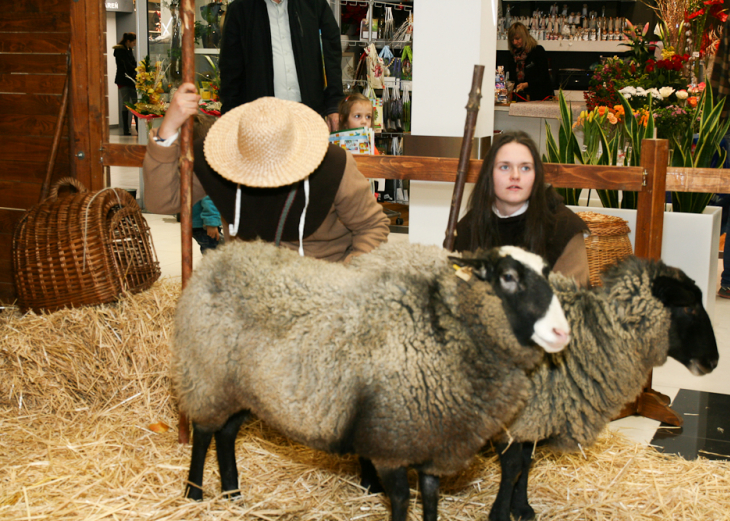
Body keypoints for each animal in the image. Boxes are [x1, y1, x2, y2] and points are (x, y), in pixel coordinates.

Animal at [172, 240, 568, 520]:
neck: (441, 333)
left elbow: (430, 499)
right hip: (207, 376)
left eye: (548, 274)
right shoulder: (391, 445)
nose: (561, 332)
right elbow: (401, 501)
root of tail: (219, 255)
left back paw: (233, 494)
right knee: (204, 433)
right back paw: (193, 494)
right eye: (508, 277)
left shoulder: (433, 441)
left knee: (226, 434)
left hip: (241, 390)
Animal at [484, 256, 716, 520]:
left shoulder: (536, 415)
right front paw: (501, 514)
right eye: (689, 308)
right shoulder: (513, 419)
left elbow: (526, 462)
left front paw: (522, 508)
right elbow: (513, 467)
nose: (714, 361)